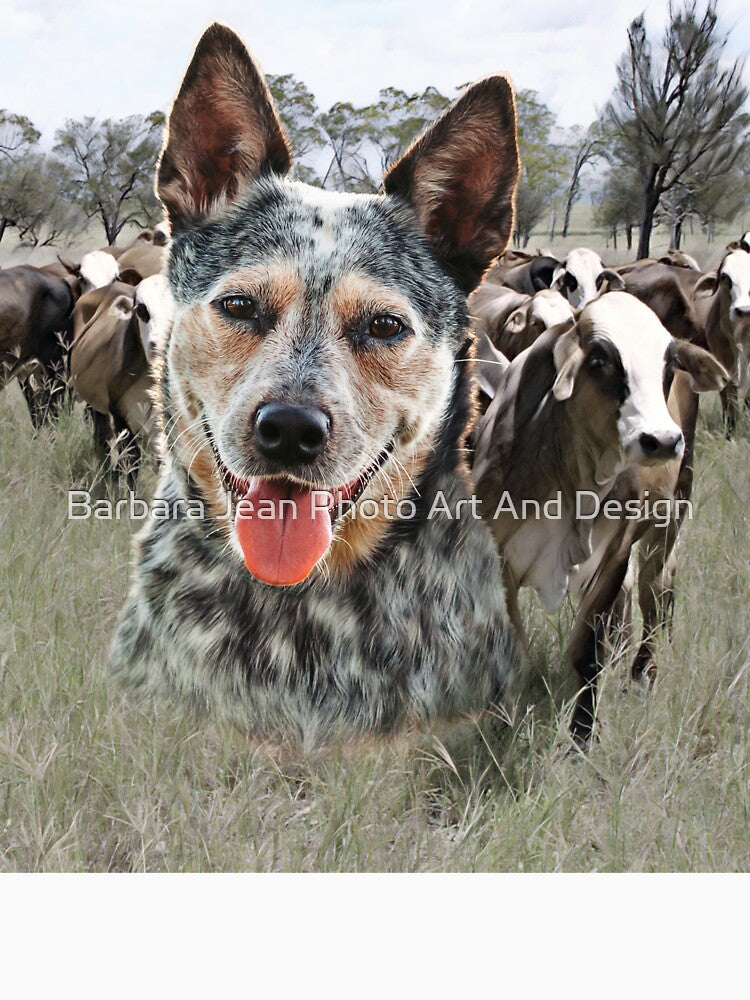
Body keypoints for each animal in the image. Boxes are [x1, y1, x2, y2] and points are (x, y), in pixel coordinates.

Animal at [473, 292, 728, 742]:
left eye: (668, 366)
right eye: (598, 359)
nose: (662, 440)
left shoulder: (614, 555)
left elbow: (588, 652)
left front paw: (581, 736)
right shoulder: (499, 558)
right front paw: (501, 727)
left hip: (671, 513)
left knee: (655, 590)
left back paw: (643, 671)